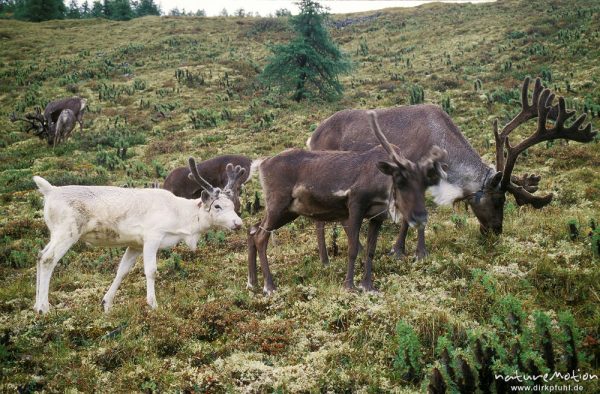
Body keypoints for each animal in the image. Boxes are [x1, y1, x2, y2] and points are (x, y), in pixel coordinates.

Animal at [32, 157, 244, 314]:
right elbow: (151, 271)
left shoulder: (134, 245)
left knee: (40, 254)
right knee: (49, 259)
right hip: (67, 231)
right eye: (217, 206)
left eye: (232, 205)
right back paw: (44, 308)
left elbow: (122, 271)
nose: (238, 223)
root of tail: (49, 191)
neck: (181, 219)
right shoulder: (152, 237)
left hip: (55, 233)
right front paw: (153, 304)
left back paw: (35, 306)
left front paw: (106, 303)